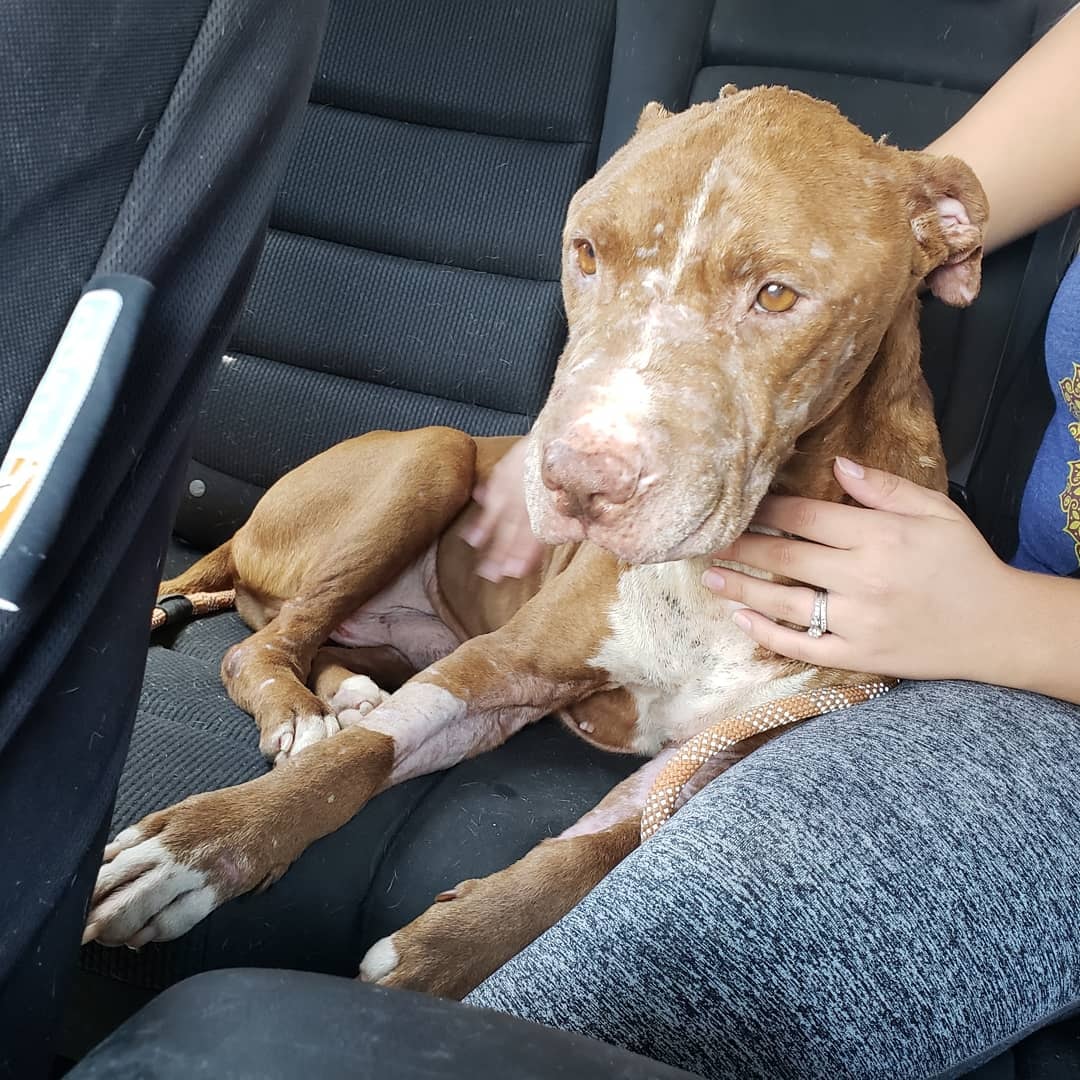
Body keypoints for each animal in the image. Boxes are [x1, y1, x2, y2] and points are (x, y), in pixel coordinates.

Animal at [84, 88, 989, 997]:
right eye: (585, 250)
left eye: (776, 295)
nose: (577, 480)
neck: (733, 556)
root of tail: (238, 534)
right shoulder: (501, 667)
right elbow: (357, 760)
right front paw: (204, 845)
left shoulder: (713, 760)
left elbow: (593, 853)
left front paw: (450, 949)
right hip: (434, 455)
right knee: (261, 647)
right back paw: (303, 715)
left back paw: (346, 693)